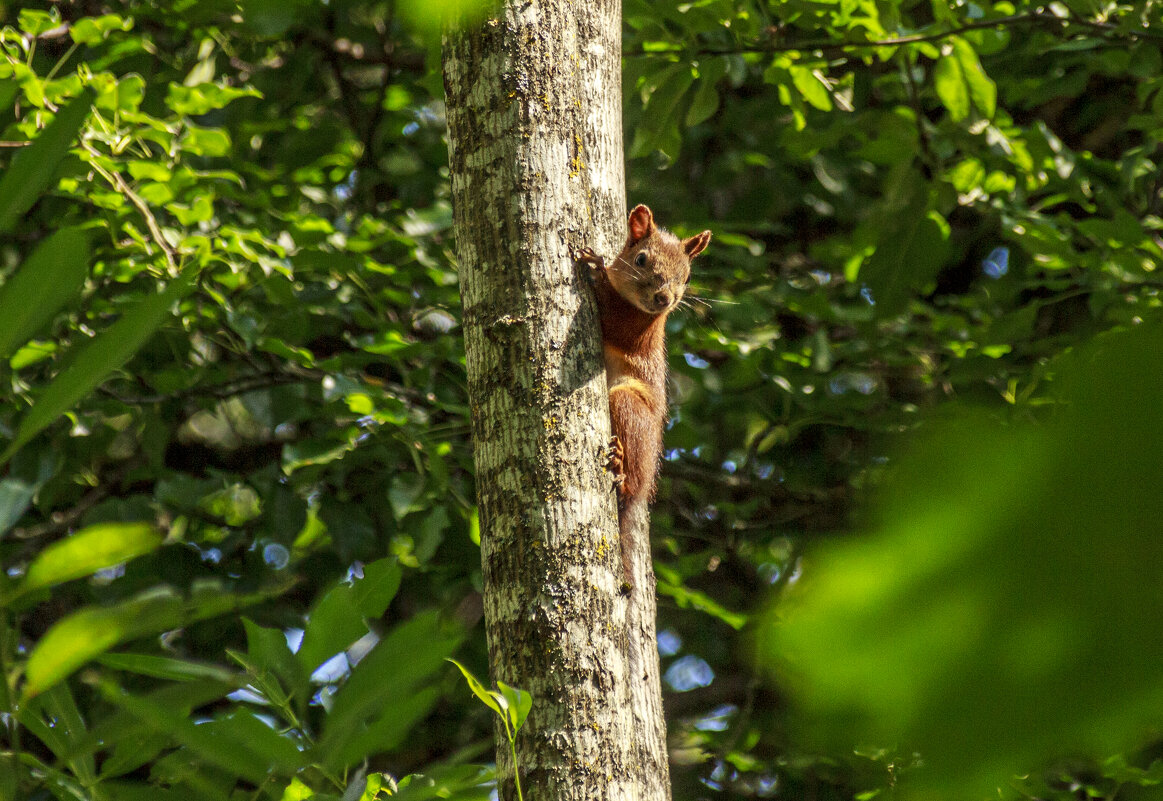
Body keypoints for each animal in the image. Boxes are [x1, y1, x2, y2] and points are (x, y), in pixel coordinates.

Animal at [572, 204, 707, 592]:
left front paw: (596, 268)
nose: (665, 299)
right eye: (642, 259)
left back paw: (620, 466)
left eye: (686, 277)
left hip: (627, 405)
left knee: (630, 483)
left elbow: (614, 321)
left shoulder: (638, 330)